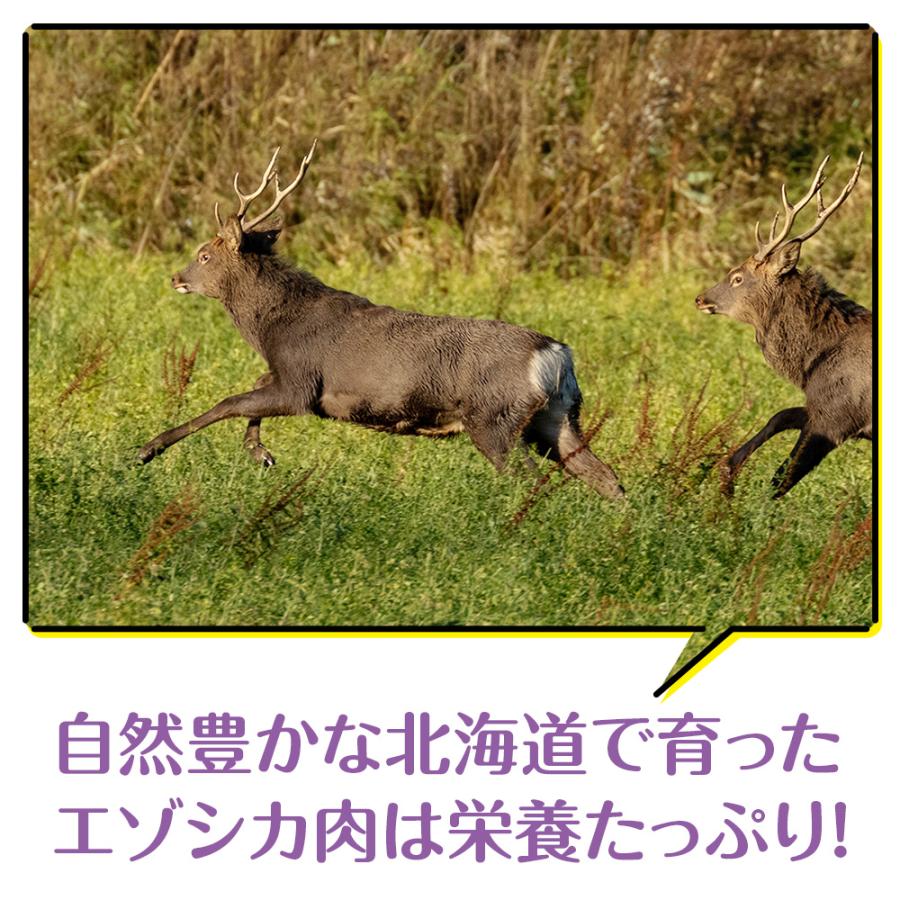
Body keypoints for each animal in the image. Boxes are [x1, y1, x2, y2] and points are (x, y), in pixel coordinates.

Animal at [138, 142, 625, 501]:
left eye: (204, 254)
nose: (176, 277)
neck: (273, 327)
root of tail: (556, 353)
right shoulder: (288, 377)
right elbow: (250, 390)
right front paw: (260, 454)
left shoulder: (301, 382)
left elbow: (230, 402)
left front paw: (148, 449)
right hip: (557, 416)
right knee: (606, 477)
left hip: (494, 418)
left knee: (532, 480)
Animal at [694, 153, 871, 497]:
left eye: (737, 277)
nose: (700, 298)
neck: (810, 364)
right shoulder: (822, 408)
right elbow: (781, 415)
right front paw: (727, 471)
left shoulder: (837, 416)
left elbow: (781, 478)